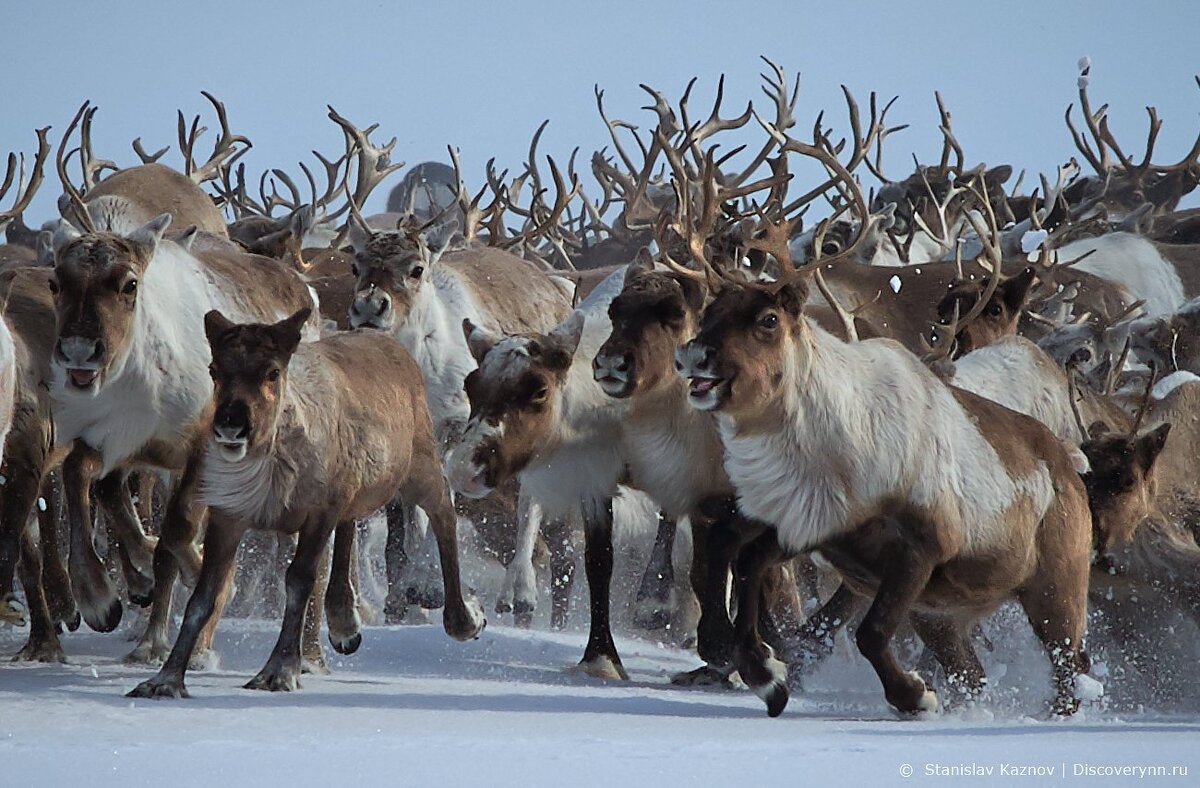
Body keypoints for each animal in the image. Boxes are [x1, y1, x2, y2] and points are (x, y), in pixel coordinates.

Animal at [126, 309, 482, 695]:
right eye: (214, 369)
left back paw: (464, 618)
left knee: (443, 509)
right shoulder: (229, 515)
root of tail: (392, 346)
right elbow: (203, 596)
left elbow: (299, 580)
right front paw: (165, 679)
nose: (230, 424)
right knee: (351, 526)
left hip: (418, 465)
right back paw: (344, 623)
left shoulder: (319, 512)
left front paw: (278, 671)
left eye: (272, 371)